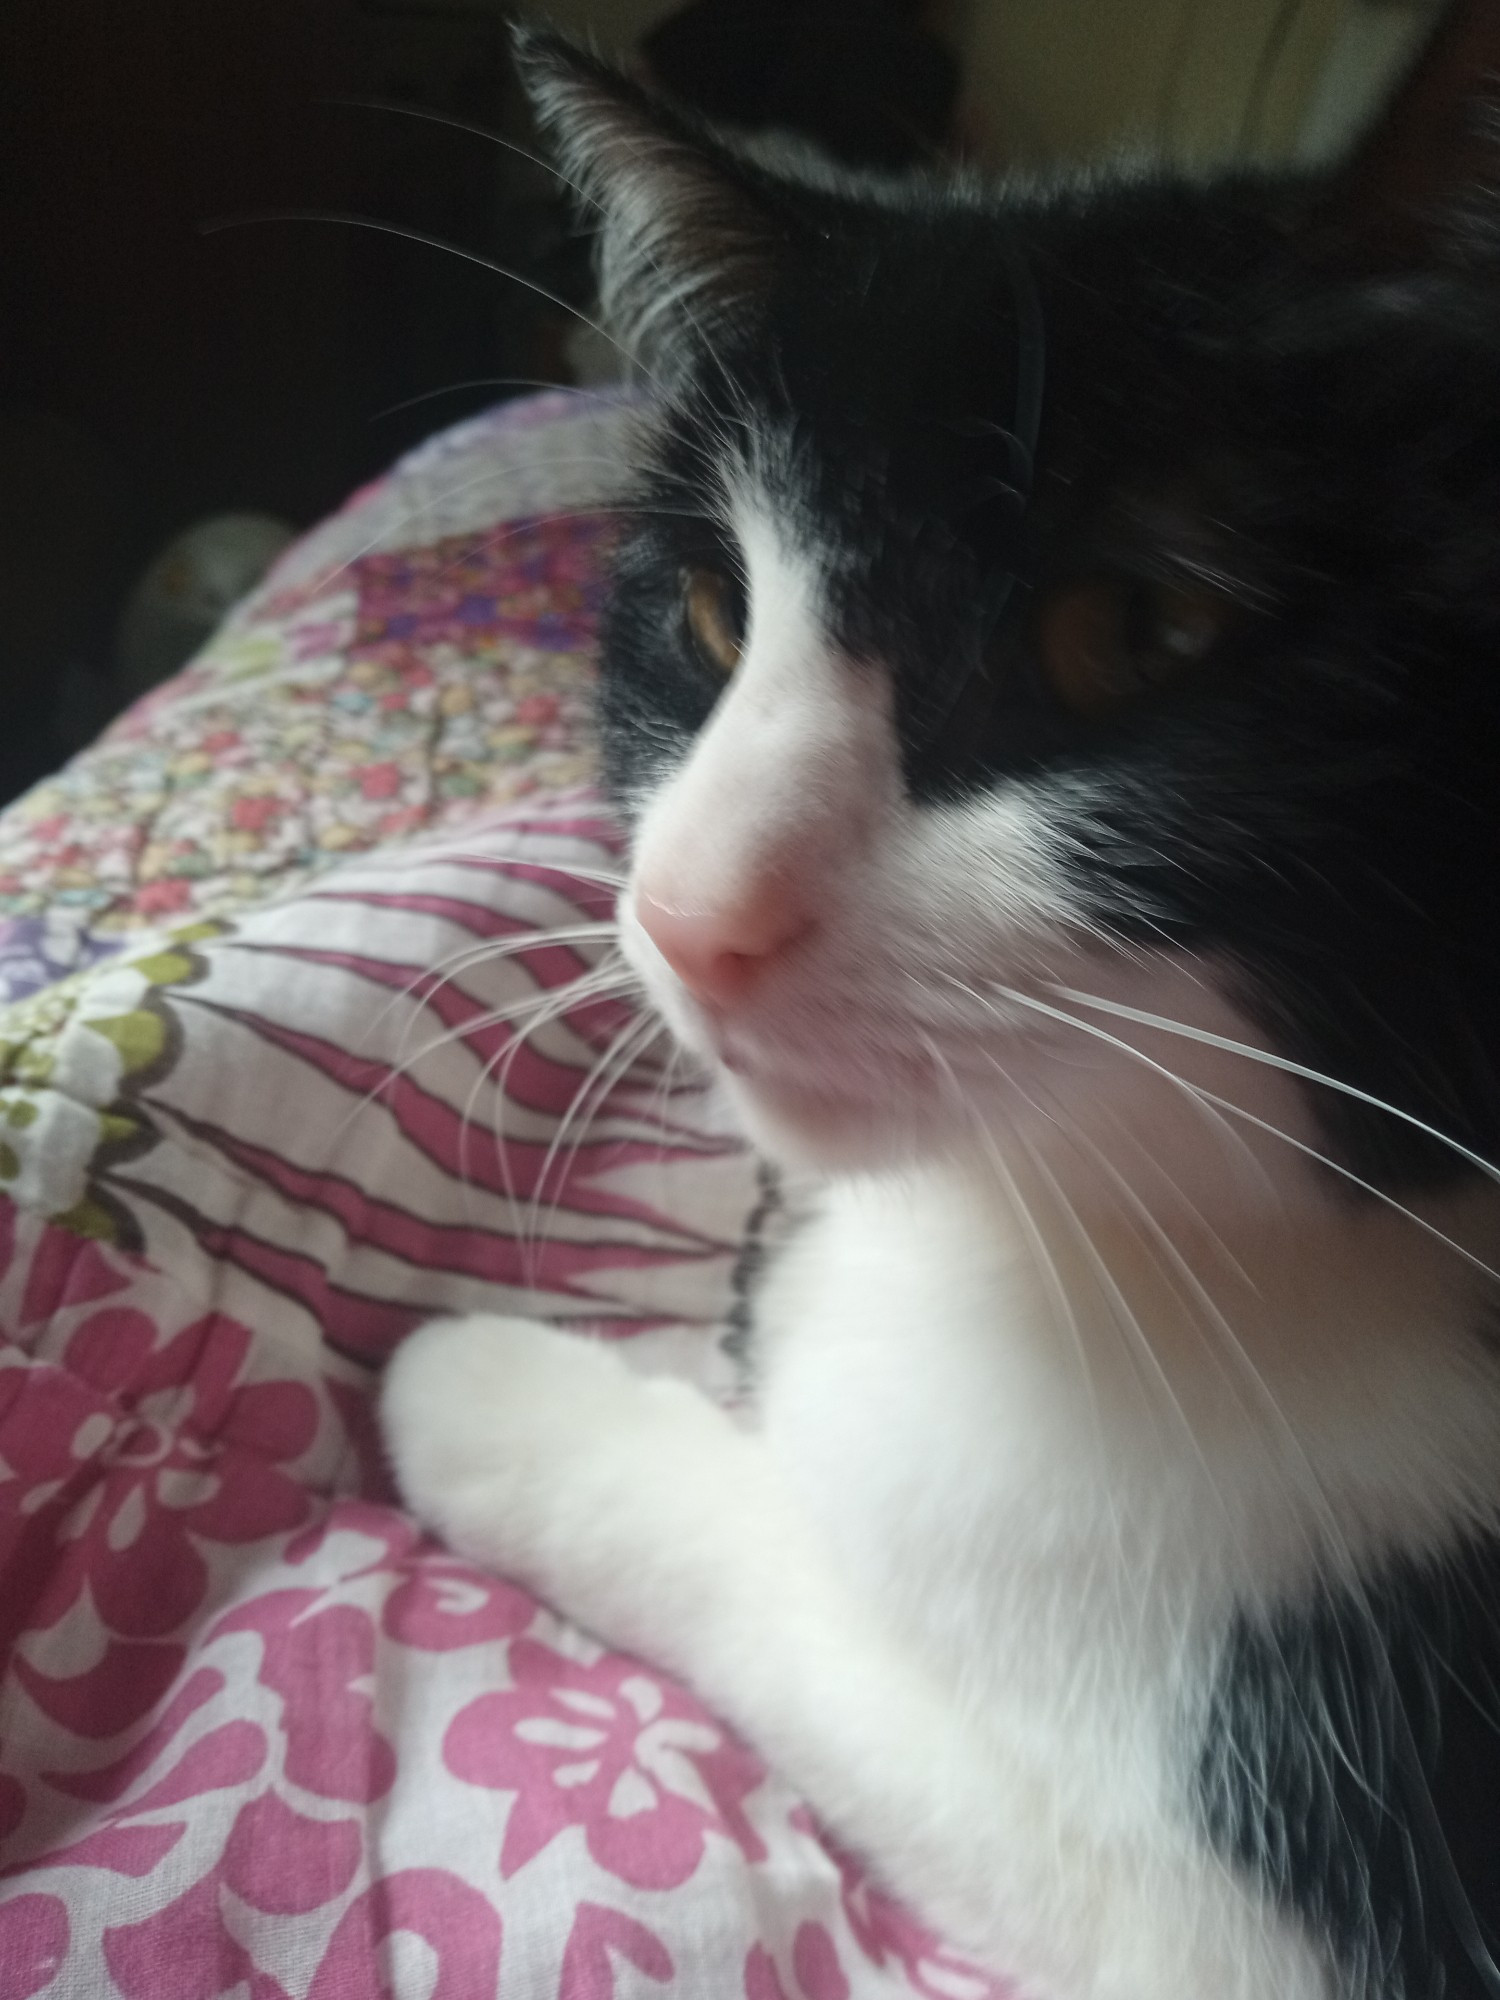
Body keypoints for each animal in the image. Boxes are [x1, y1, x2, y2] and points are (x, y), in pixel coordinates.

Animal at [378, 31, 1500, 2000]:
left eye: (1130, 630)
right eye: (708, 610)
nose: (690, 915)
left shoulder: (1237, 1941)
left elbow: (813, 1601)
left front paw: (487, 1388)